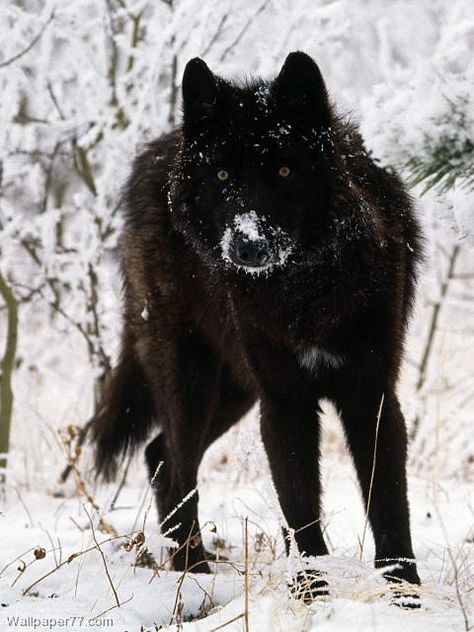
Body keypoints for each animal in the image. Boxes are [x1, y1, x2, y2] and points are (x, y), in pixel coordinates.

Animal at [92, 51, 422, 596]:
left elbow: (389, 504)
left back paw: (190, 568)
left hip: (234, 391)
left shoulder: (371, 395)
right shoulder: (284, 401)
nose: (247, 245)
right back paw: (193, 573)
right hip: (192, 382)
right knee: (175, 464)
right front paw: (311, 593)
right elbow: (300, 507)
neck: (305, 290)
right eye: (223, 175)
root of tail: (157, 150)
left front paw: (404, 595)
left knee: (160, 456)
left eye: (285, 170)